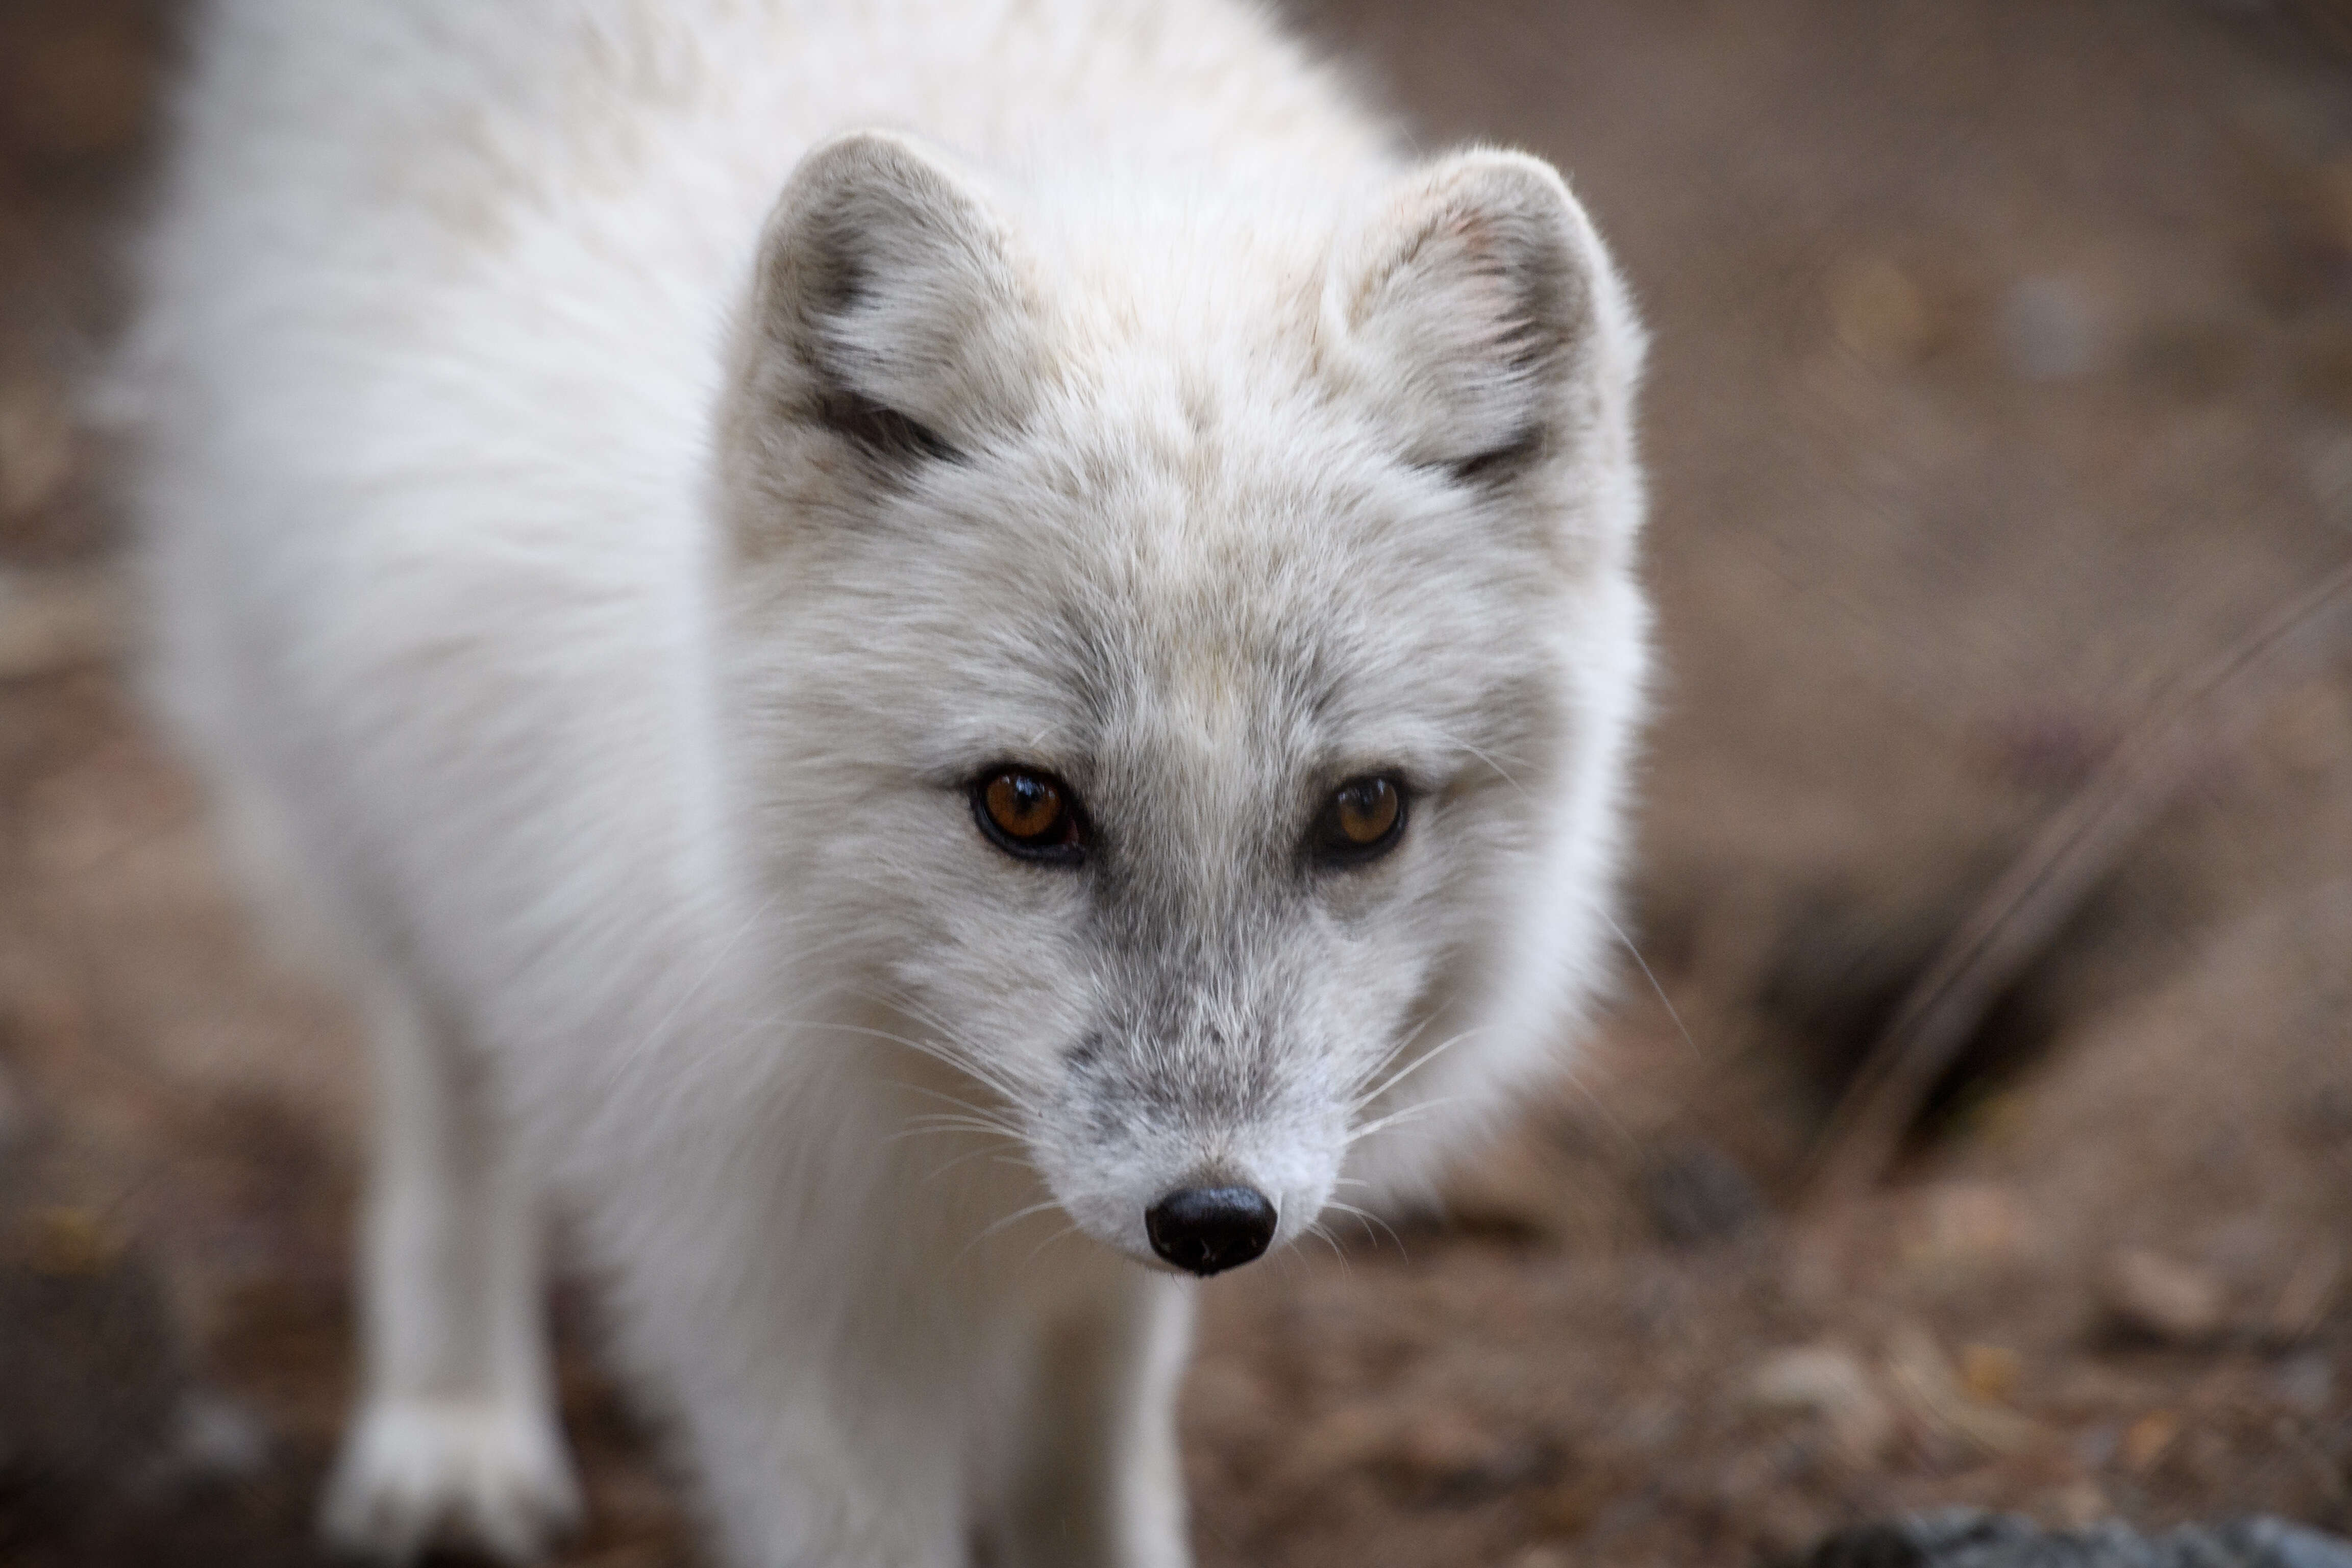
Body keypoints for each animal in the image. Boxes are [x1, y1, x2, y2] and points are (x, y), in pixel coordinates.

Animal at [129, 3, 1655, 1568]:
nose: (1214, 1217)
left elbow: (1088, 1465)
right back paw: (452, 1426)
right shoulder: (770, 1276)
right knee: (446, 1087)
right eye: (1024, 805)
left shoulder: (1091, 1271)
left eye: (1363, 811)